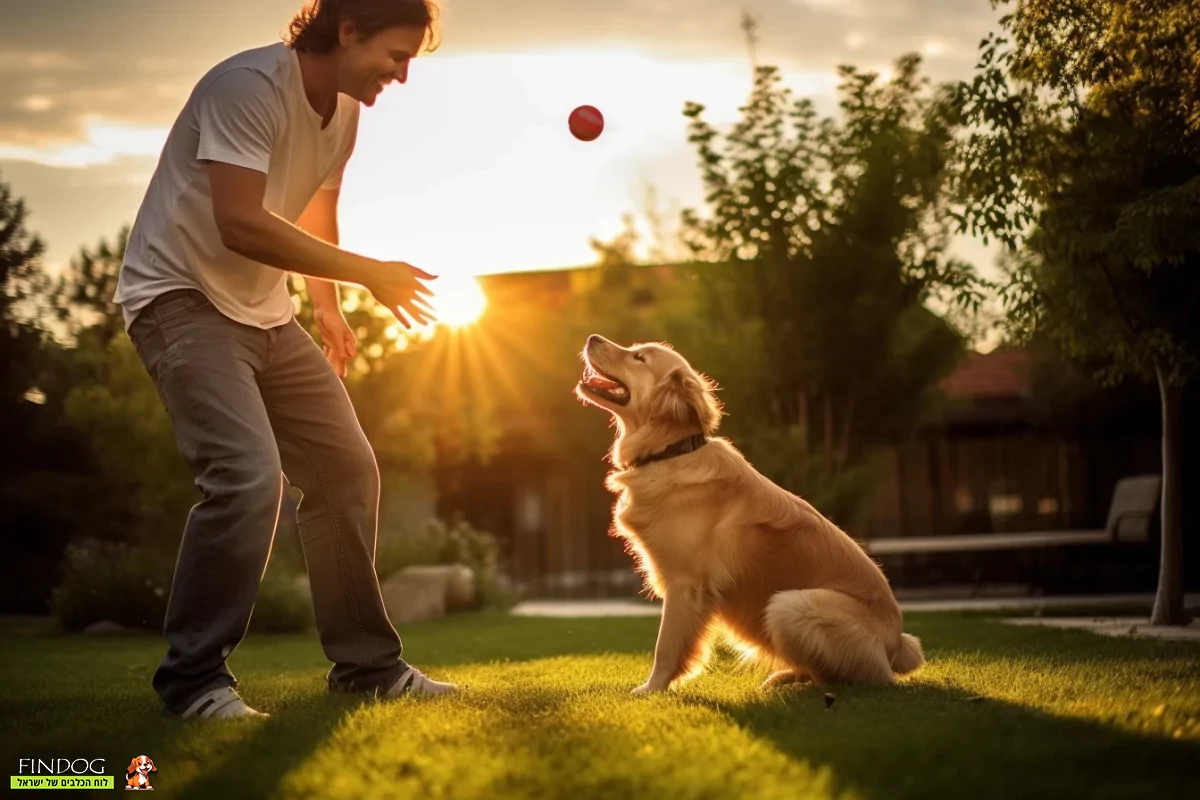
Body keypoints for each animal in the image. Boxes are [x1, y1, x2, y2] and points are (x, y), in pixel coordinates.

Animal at [576, 335, 921, 690]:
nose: (592, 338)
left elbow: (666, 647)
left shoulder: (686, 584)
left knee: (837, 679)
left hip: (789, 604)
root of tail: (896, 644)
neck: (671, 452)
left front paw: (651, 689)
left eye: (639, 358)